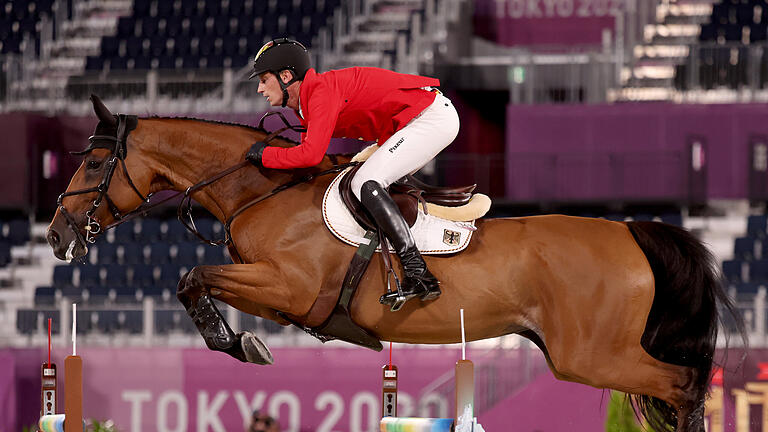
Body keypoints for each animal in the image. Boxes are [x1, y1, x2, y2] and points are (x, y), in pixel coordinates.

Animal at [45, 96, 740, 430]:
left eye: (92, 162)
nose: (55, 235)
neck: (260, 190)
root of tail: (630, 233)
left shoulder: (289, 288)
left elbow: (191, 277)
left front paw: (240, 344)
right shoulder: (276, 293)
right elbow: (196, 281)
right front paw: (239, 340)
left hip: (588, 355)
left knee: (683, 384)